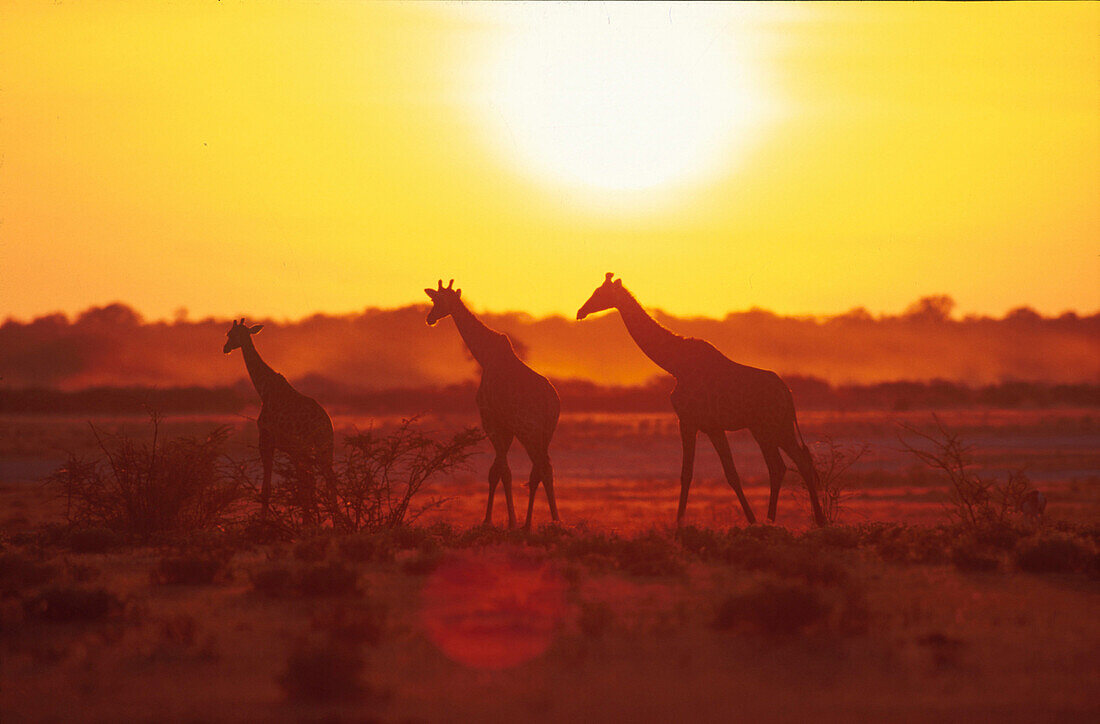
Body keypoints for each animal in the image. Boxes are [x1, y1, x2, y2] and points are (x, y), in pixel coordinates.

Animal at [223, 316, 338, 519]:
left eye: (230, 333)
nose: (225, 348)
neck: (264, 390)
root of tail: (326, 423)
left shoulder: (266, 439)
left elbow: (267, 488)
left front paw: (262, 522)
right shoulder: (292, 449)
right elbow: (305, 486)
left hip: (311, 447)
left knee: (323, 479)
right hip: (324, 445)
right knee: (326, 478)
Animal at [424, 279, 563, 528]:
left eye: (441, 300)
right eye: (433, 299)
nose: (430, 318)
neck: (485, 357)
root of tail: (551, 403)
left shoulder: (491, 419)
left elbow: (499, 471)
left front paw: (494, 521)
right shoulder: (505, 426)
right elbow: (500, 470)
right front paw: (508, 520)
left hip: (529, 431)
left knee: (541, 467)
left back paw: (544, 523)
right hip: (545, 432)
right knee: (541, 469)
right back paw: (542, 522)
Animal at [576, 273, 827, 528]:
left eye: (600, 293)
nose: (580, 311)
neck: (674, 365)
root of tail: (787, 392)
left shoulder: (690, 421)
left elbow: (691, 474)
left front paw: (680, 522)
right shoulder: (709, 427)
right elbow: (726, 474)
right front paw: (750, 519)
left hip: (767, 427)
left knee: (783, 464)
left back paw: (784, 520)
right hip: (775, 427)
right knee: (793, 463)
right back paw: (803, 520)